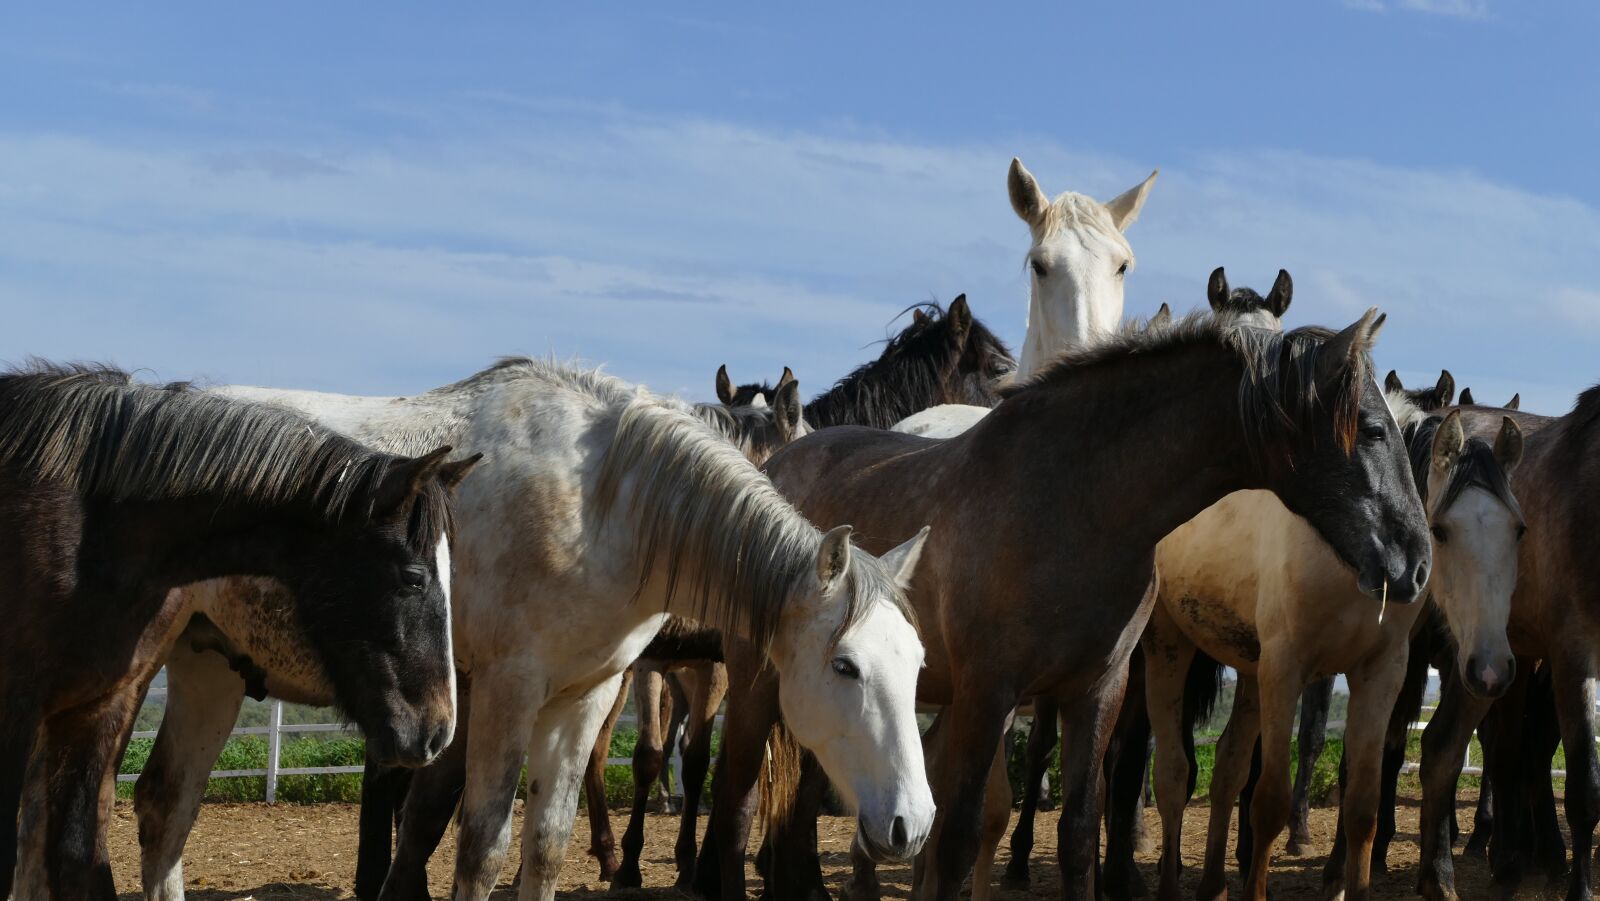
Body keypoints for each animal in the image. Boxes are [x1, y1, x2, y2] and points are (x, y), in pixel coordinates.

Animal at [0, 362, 472, 899]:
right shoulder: (16, 710)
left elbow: (82, 859)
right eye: (413, 577)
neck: (91, 529)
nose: (438, 731)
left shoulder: (96, 708)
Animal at [120, 358, 936, 901]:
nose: (913, 823)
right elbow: (482, 844)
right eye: (846, 666)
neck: (600, 504)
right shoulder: (507, 690)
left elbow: (545, 845)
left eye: (918, 664)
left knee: (167, 802)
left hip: (211, 661)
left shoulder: (586, 692)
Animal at [704, 309, 1430, 901]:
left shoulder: (1097, 691)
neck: (1077, 504)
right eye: (1371, 429)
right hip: (755, 686)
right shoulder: (988, 694)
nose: (1417, 560)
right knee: (737, 800)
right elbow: (959, 835)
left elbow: (1081, 833)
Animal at [1146, 397, 1523, 901]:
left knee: (1227, 768)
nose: (1491, 669)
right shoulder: (1285, 670)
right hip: (1169, 647)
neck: (1351, 552)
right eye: (1441, 530)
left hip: (1250, 672)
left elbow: (1362, 806)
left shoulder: (1381, 673)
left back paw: (1212, 886)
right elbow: (1270, 803)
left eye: (1518, 530)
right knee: (1172, 775)